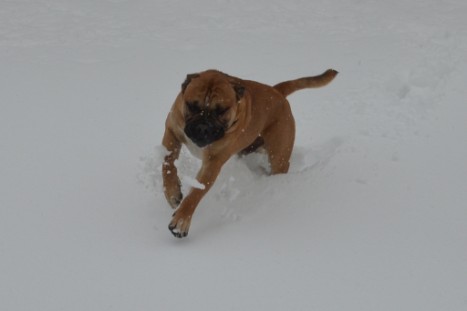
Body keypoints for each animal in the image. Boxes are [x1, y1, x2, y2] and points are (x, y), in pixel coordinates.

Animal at [161, 69, 336, 239]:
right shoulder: (172, 131)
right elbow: (167, 163)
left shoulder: (213, 163)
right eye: (192, 106)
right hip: (249, 148)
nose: (202, 127)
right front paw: (172, 192)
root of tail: (277, 91)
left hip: (279, 156)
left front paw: (181, 221)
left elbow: (196, 193)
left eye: (221, 111)